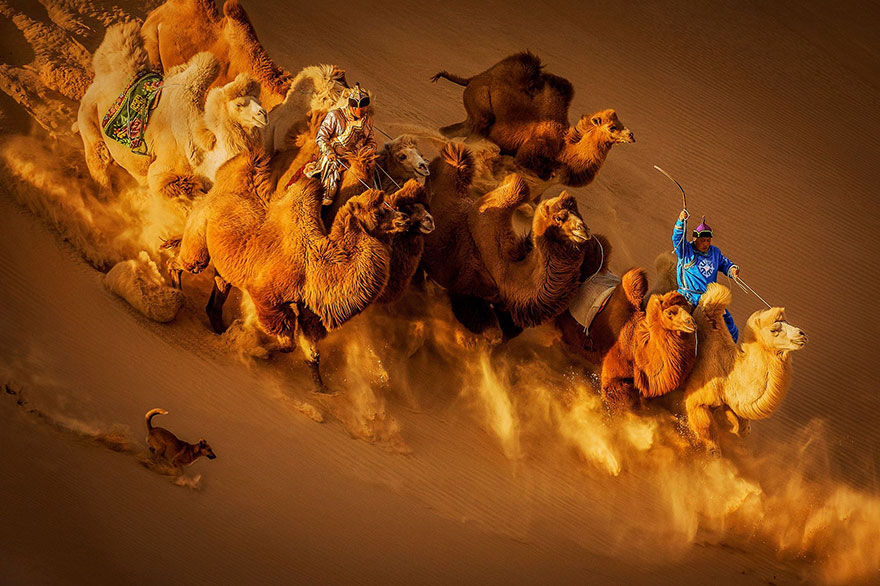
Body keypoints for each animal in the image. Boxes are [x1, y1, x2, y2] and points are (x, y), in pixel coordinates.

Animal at [174, 149, 419, 390]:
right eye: (378, 213)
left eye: (393, 207)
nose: (405, 219)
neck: (313, 265)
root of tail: (218, 186)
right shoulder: (266, 297)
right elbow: (287, 341)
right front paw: (256, 348)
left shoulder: (307, 309)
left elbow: (311, 351)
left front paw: (321, 388)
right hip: (199, 239)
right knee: (181, 262)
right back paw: (177, 295)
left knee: (217, 290)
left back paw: (217, 327)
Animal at [684, 283, 807, 453]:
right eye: (773, 330)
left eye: (787, 321)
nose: (802, 335)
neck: (728, 375)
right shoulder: (695, 399)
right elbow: (708, 435)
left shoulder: (730, 403)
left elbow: (742, 428)